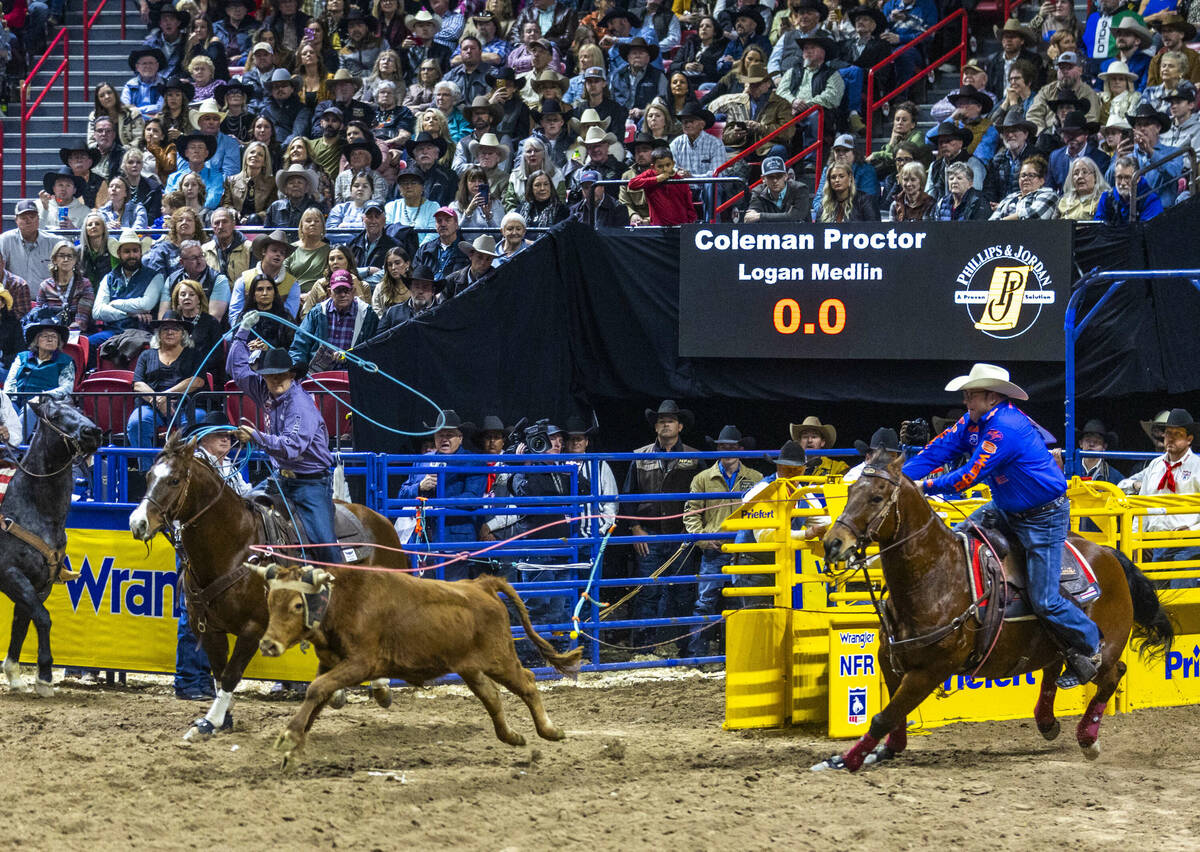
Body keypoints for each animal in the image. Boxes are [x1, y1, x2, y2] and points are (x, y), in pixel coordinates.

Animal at [0, 396, 100, 696]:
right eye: (54, 416)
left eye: (79, 409)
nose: (93, 433)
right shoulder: (10, 574)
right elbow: (43, 618)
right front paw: (44, 675)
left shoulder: (39, 582)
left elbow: (22, 622)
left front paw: (14, 674)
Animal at [129, 434, 405, 739]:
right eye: (148, 476)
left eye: (175, 480)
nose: (137, 523)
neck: (235, 545)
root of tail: (379, 520)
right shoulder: (208, 627)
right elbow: (219, 673)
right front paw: (219, 719)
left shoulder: (253, 628)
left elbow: (231, 674)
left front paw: (212, 719)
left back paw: (379, 686)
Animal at [816, 453, 1171, 772]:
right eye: (850, 491)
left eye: (876, 497)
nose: (833, 543)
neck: (936, 575)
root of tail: (1110, 554)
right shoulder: (891, 658)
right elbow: (894, 716)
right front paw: (884, 750)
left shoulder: (931, 670)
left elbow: (882, 716)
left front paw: (847, 760)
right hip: (1053, 643)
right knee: (1053, 670)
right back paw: (1047, 721)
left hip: (1105, 646)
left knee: (1113, 674)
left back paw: (1087, 738)